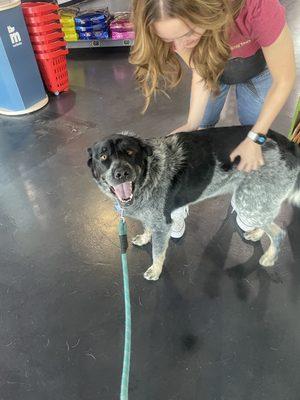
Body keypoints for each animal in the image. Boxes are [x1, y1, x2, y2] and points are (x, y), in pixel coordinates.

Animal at [87, 126, 300, 282]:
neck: (148, 175)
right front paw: (145, 238)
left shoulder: (162, 224)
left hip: (247, 201)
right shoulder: (150, 216)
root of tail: (289, 144)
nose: (121, 173)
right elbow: (147, 228)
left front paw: (155, 270)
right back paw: (256, 234)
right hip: (256, 202)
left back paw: (269, 258)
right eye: (103, 157)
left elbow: (158, 253)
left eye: (130, 153)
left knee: (279, 232)